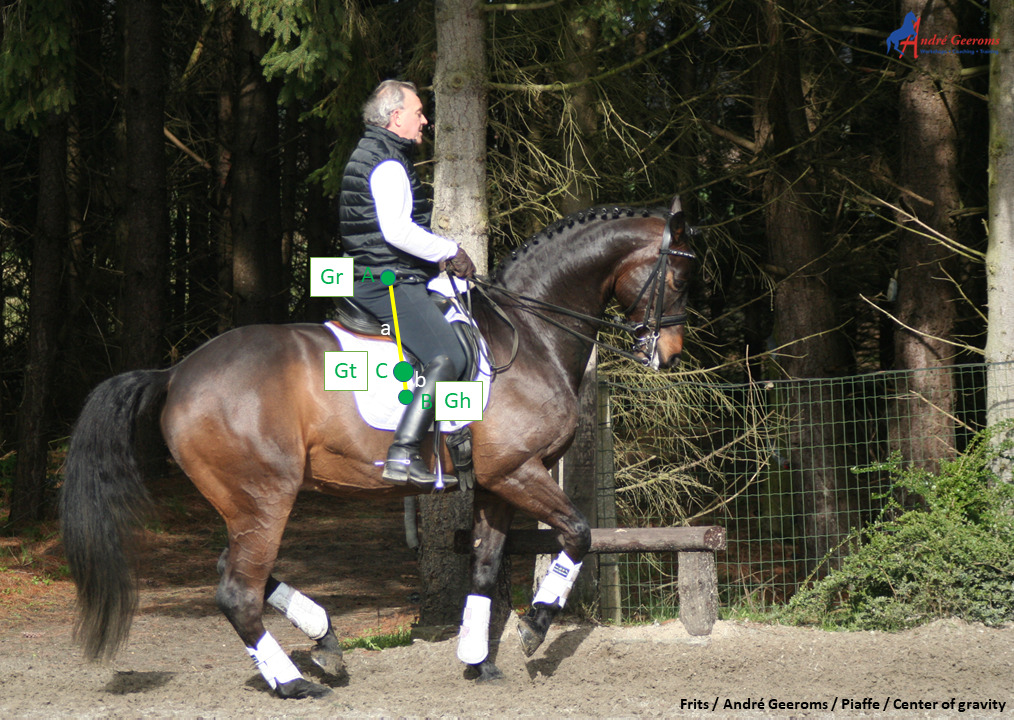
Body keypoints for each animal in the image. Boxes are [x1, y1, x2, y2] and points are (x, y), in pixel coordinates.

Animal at [61, 195, 697, 697]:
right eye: (679, 279)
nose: (668, 353)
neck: (528, 331)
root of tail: (176, 373)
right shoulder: (520, 471)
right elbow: (579, 534)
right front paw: (535, 626)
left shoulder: (497, 482)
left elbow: (486, 566)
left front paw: (478, 662)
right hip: (265, 496)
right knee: (236, 589)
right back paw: (293, 682)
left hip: (241, 501)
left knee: (234, 570)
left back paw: (324, 640)